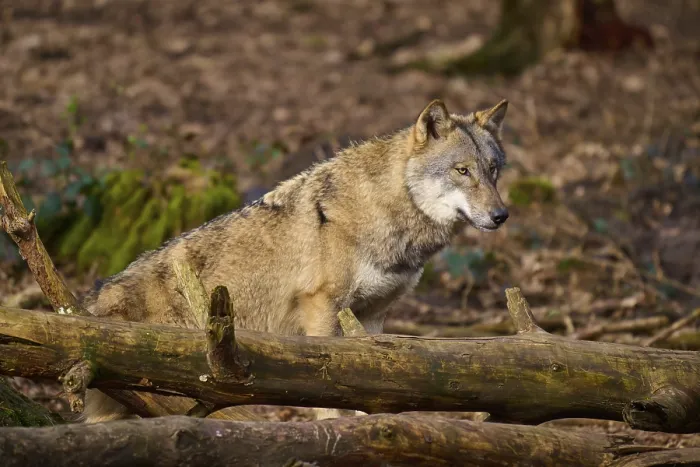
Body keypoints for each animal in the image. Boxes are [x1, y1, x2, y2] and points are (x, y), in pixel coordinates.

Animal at [82, 98, 511, 423]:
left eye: (493, 171)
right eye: (462, 171)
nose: (501, 215)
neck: (384, 212)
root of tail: (93, 304)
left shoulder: (373, 318)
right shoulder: (323, 308)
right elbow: (330, 395)